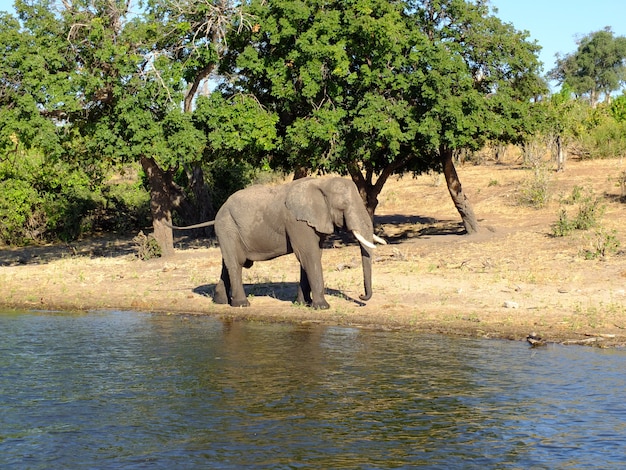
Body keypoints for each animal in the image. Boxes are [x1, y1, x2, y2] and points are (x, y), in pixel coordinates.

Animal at [168, 176, 388, 308]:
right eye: (343, 206)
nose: (361, 297)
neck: (321, 183)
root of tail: (217, 214)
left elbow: (310, 257)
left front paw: (302, 305)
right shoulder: (297, 221)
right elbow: (308, 255)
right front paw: (322, 307)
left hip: (228, 230)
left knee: (228, 264)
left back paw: (220, 302)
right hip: (227, 226)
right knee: (235, 264)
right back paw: (242, 305)